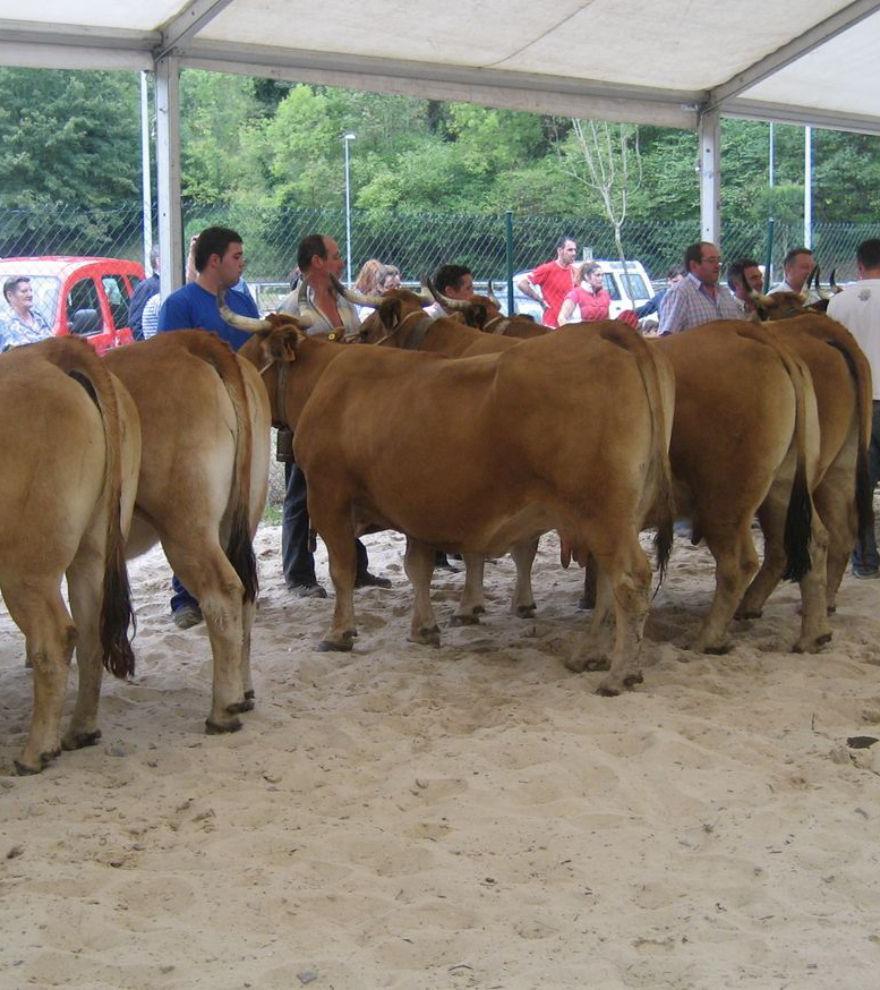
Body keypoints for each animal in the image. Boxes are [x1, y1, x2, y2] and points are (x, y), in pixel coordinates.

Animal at [0, 340, 139, 776]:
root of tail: (47, 352)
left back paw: (36, 752)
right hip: (94, 547)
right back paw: (81, 730)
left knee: (55, 638)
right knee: (91, 631)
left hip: (26, 567)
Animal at [103, 330, 270, 732]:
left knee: (223, 592)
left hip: (185, 525)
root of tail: (188, 340)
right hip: (241, 515)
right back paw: (244, 691)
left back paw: (223, 711)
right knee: (246, 595)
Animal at [232, 302, 672, 696]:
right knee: (607, 583)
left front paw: (339, 632)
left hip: (602, 515)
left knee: (630, 579)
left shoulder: (329, 496)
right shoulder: (416, 506)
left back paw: (619, 674)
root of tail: (604, 332)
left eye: (250, 356)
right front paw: (424, 628)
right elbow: (418, 568)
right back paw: (590, 655)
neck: (328, 381)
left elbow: (343, 570)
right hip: (610, 518)